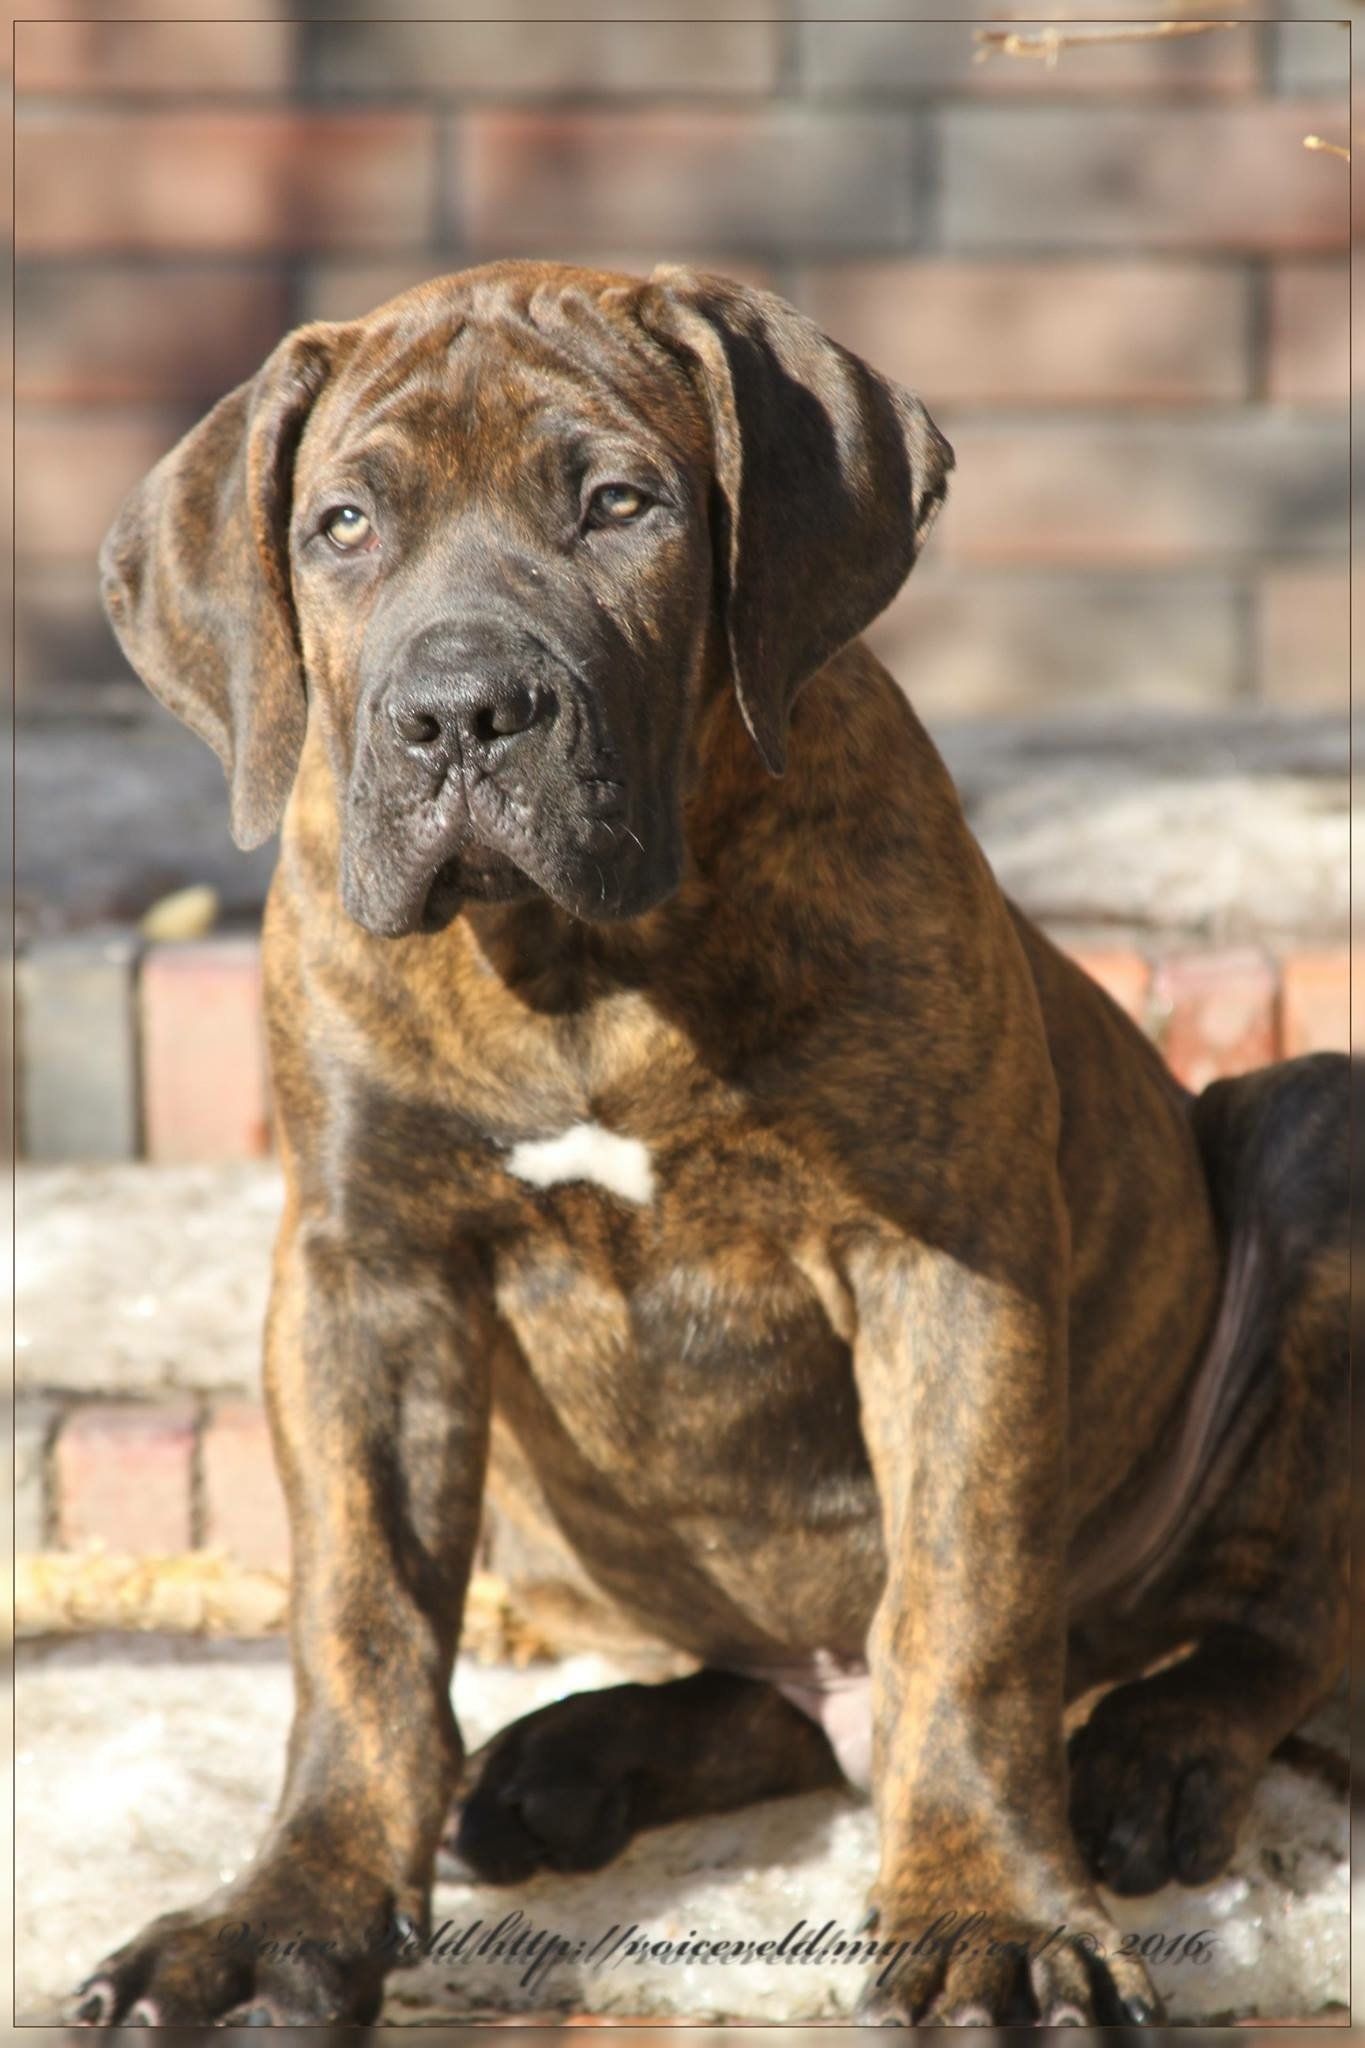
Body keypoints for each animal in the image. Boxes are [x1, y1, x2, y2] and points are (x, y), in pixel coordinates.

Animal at [74, 264, 1342, 2023]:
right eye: (342, 525)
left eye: (622, 505)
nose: (458, 713)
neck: (578, 965)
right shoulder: (364, 1273)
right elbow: (360, 1621)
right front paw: (279, 1914)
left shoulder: (948, 1265)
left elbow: (966, 1607)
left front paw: (995, 1914)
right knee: (766, 1694)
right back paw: (568, 1763)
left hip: (1311, 1130)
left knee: (1273, 1612)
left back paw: (1152, 1755)